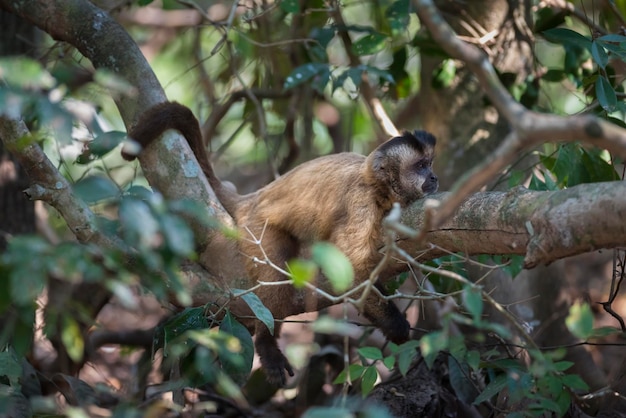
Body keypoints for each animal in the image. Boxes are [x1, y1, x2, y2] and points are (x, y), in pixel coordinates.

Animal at [119, 101, 436, 386]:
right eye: (421, 166)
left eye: (429, 164)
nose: (434, 176)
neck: (375, 184)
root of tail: (254, 197)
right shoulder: (362, 203)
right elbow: (354, 269)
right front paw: (394, 324)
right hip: (257, 230)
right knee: (273, 280)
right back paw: (267, 345)